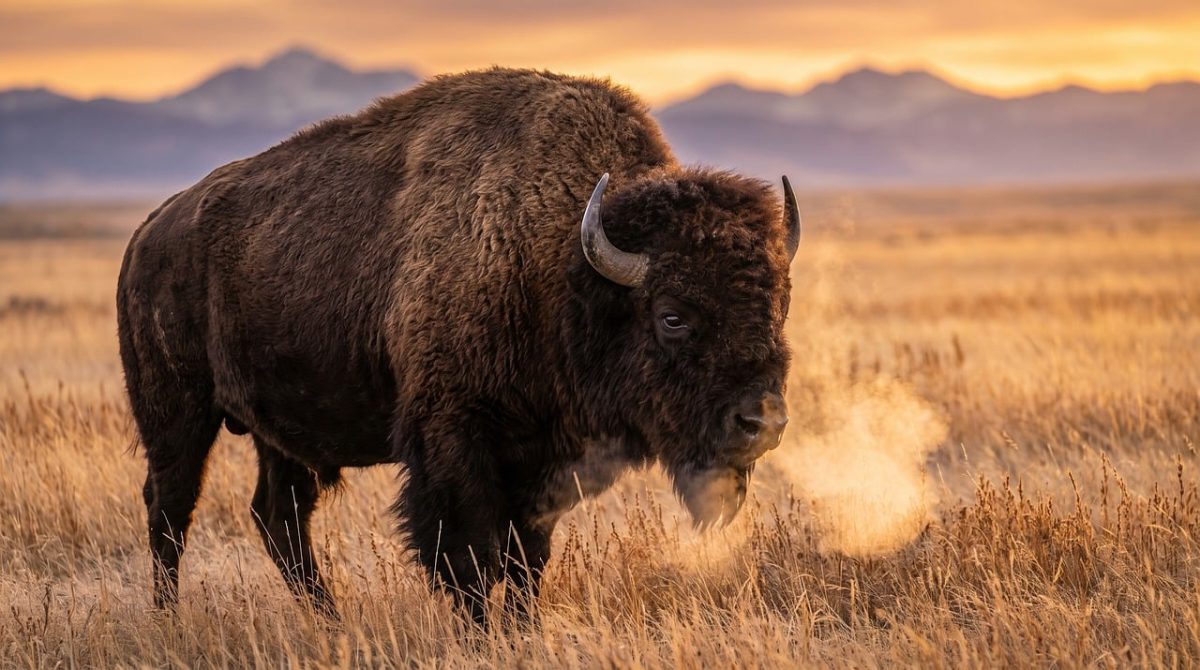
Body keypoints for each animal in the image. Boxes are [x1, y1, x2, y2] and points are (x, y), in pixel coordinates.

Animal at [116, 68, 800, 622]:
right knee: (170, 508)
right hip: (178, 414)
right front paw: (480, 636)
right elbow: (468, 559)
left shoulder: (543, 458)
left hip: (278, 433)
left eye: (778, 305)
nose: (761, 422)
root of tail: (148, 232)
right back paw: (170, 620)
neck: (560, 264)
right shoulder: (452, 444)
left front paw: (521, 631)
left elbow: (526, 559)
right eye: (672, 316)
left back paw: (330, 620)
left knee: (278, 517)